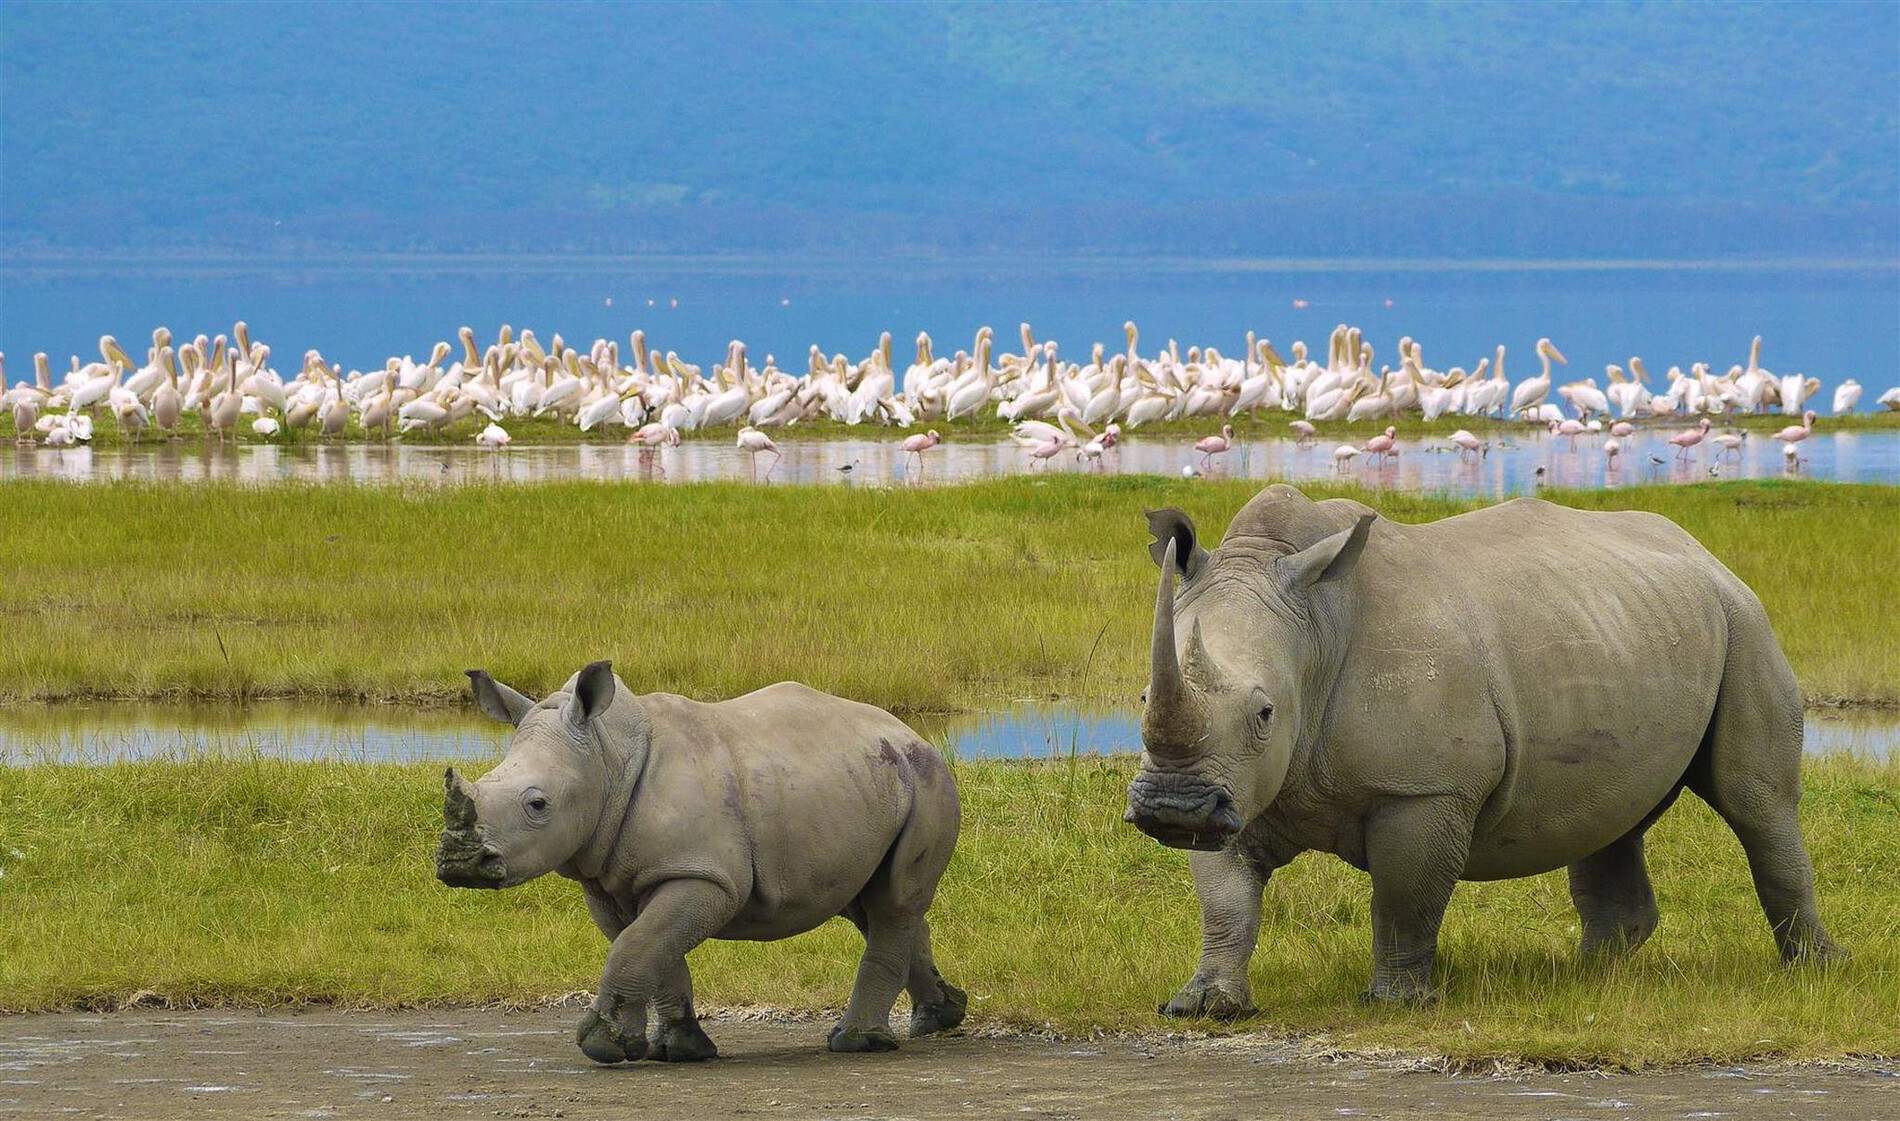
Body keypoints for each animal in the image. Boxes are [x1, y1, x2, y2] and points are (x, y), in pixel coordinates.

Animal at [435, 661, 965, 1063]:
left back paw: (855, 1043)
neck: (607, 758)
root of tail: (910, 733)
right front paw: (676, 1050)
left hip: (927, 782)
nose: (459, 864)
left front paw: (602, 1047)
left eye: (538, 804)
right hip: (868, 783)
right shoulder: (609, 881)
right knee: (870, 904)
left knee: (894, 901)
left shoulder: (705, 875)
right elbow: (651, 947)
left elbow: (637, 945)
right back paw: (940, 1016)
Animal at [1124, 484, 1840, 1013]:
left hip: (1745, 623)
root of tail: (1706, 553)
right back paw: (1586, 976)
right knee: (1615, 813)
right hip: (1625, 626)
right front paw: (1204, 1006)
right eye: (1142, 697)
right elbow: (1225, 898)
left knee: (1757, 805)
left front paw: (1396, 1003)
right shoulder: (1237, 786)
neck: (1315, 631)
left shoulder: (1424, 789)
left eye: (1265, 714)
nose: (1172, 809)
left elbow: (1405, 898)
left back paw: (1815, 971)